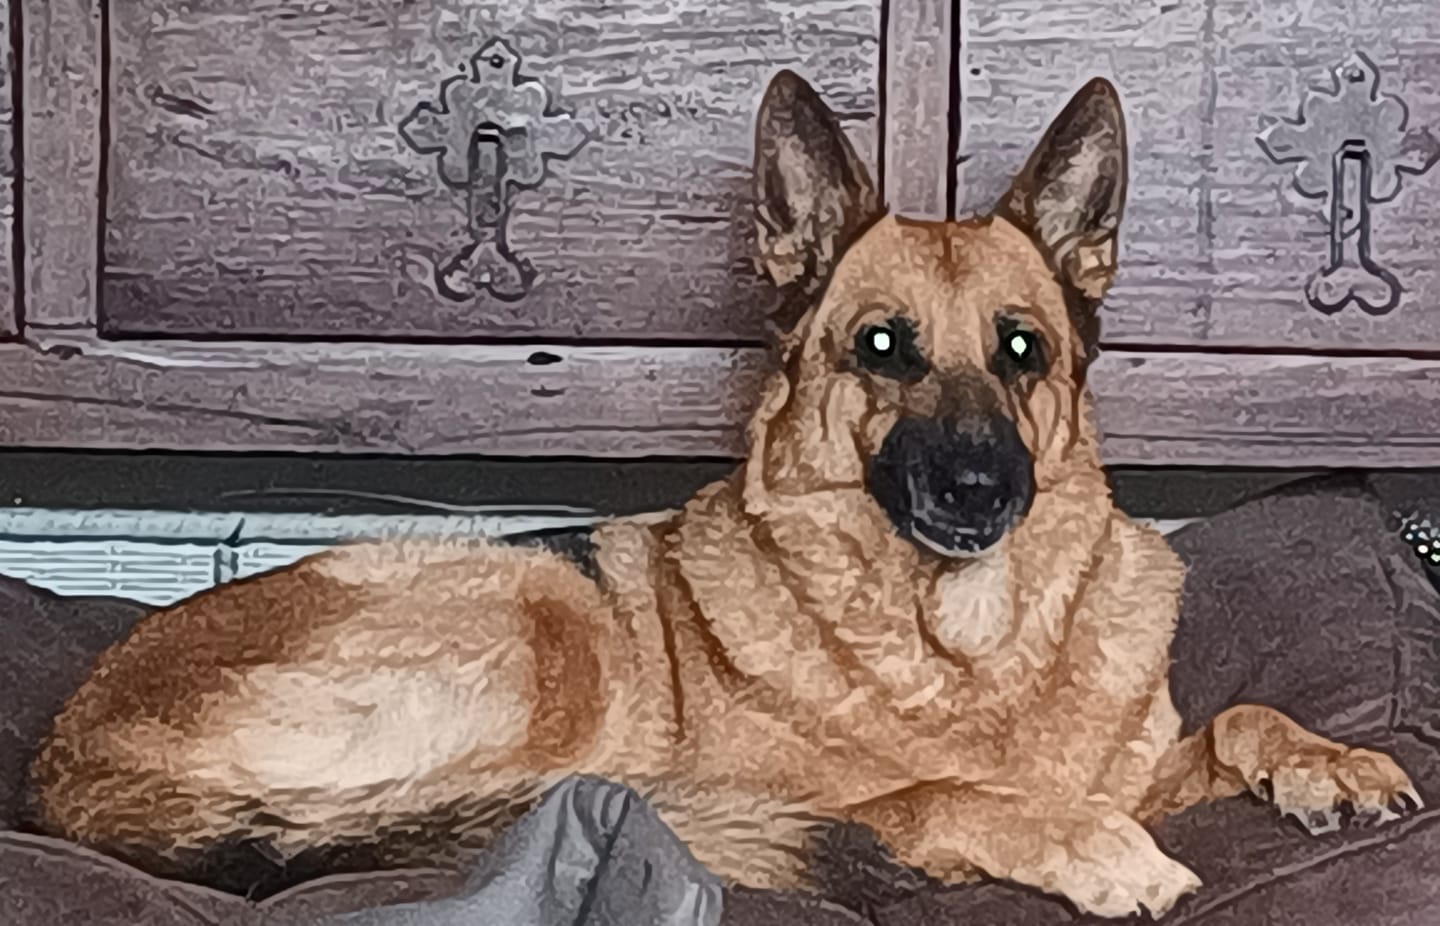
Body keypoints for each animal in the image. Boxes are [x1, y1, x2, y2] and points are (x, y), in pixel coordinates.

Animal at [28, 71, 1422, 918]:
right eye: (882, 347)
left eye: (1022, 349)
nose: (981, 487)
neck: (964, 647)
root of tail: (69, 760)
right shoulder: (870, 796)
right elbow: (941, 796)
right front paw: (1090, 846)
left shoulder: (1139, 754)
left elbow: (1241, 715)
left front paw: (1330, 760)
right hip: (538, 612)